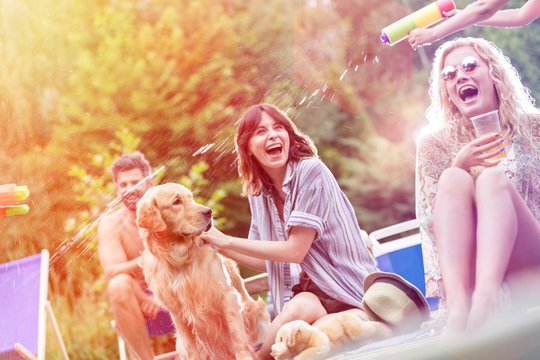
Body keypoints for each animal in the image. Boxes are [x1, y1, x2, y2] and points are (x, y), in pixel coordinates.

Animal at [137, 184, 268, 358]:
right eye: (176, 201)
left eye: (191, 198)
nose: (209, 212)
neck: (180, 257)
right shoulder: (178, 312)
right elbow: (191, 345)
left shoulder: (226, 295)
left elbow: (236, 335)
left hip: (256, 311)